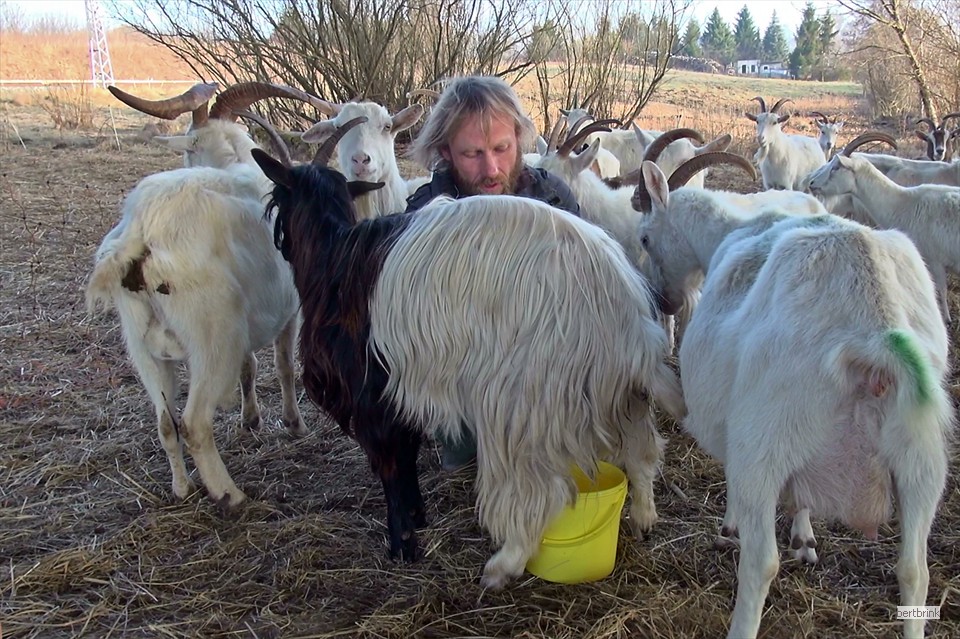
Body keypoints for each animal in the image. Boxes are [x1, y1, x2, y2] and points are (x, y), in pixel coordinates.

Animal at [87, 82, 316, 507]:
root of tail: (140, 235)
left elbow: (250, 366)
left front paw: (250, 419)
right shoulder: (289, 311)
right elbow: (283, 365)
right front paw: (294, 424)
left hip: (141, 347)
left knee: (165, 421)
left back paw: (183, 488)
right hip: (212, 338)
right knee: (193, 423)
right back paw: (230, 496)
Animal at [253, 117, 686, 587]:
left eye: (276, 199)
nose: (279, 244)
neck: (333, 257)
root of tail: (624, 316)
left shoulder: (371, 393)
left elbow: (389, 464)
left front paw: (402, 544)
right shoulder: (401, 389)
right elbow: (406, 458)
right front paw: (417, 517)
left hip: (520, 403)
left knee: (544, 493)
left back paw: (502, 566)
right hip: (618, 393)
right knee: (642, 452)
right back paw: (643, 519)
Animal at [806, 152, 960, 323]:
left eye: (836, 167)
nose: (811, 183)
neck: (903, 203)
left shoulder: (934, 260)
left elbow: (941, 289)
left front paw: (946, 319)